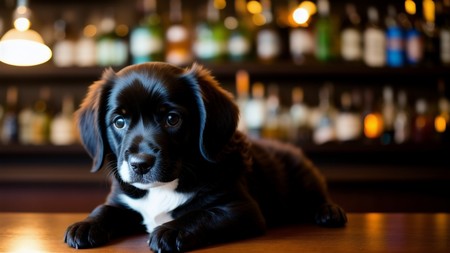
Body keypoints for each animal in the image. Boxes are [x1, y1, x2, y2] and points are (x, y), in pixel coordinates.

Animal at [65, 62, 346, 252]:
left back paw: (329, 211)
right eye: (119, 122)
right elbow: (104, 208)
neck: (163, 187)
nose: (140, 164)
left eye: (172, 119)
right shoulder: (124, 202)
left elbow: (201, 215)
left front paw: (170, 230)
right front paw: (86, 224)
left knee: (316, 194)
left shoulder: (241, 208)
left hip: (303, 172)